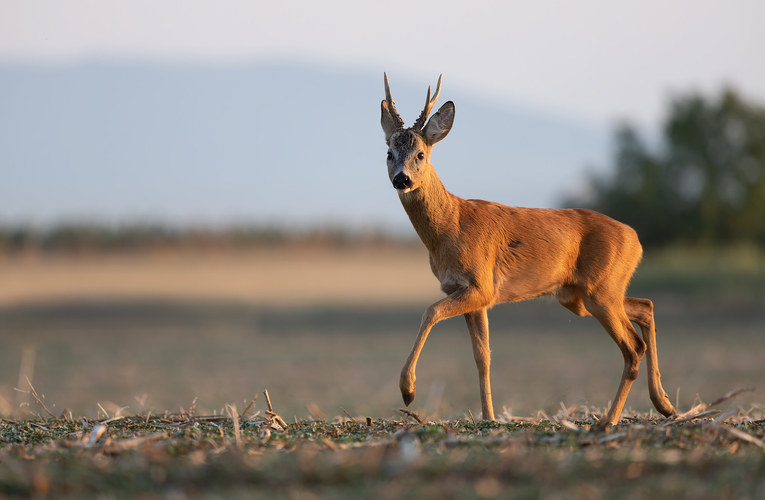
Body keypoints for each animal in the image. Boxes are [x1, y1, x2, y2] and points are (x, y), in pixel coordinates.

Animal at [380, 73, 676, 426]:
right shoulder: (471, 294)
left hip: (600, 291)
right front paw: (489, 417)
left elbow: (430, 312)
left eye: (421, 154)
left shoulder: (481, 285)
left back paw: (609, 421)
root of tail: (636, 239)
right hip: (582, 295)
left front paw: (408, 390)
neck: (452, 224)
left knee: (633, 347)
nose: (402, 179)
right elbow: (482, 356)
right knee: (645, 307)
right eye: (388, 153)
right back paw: (664, 405)